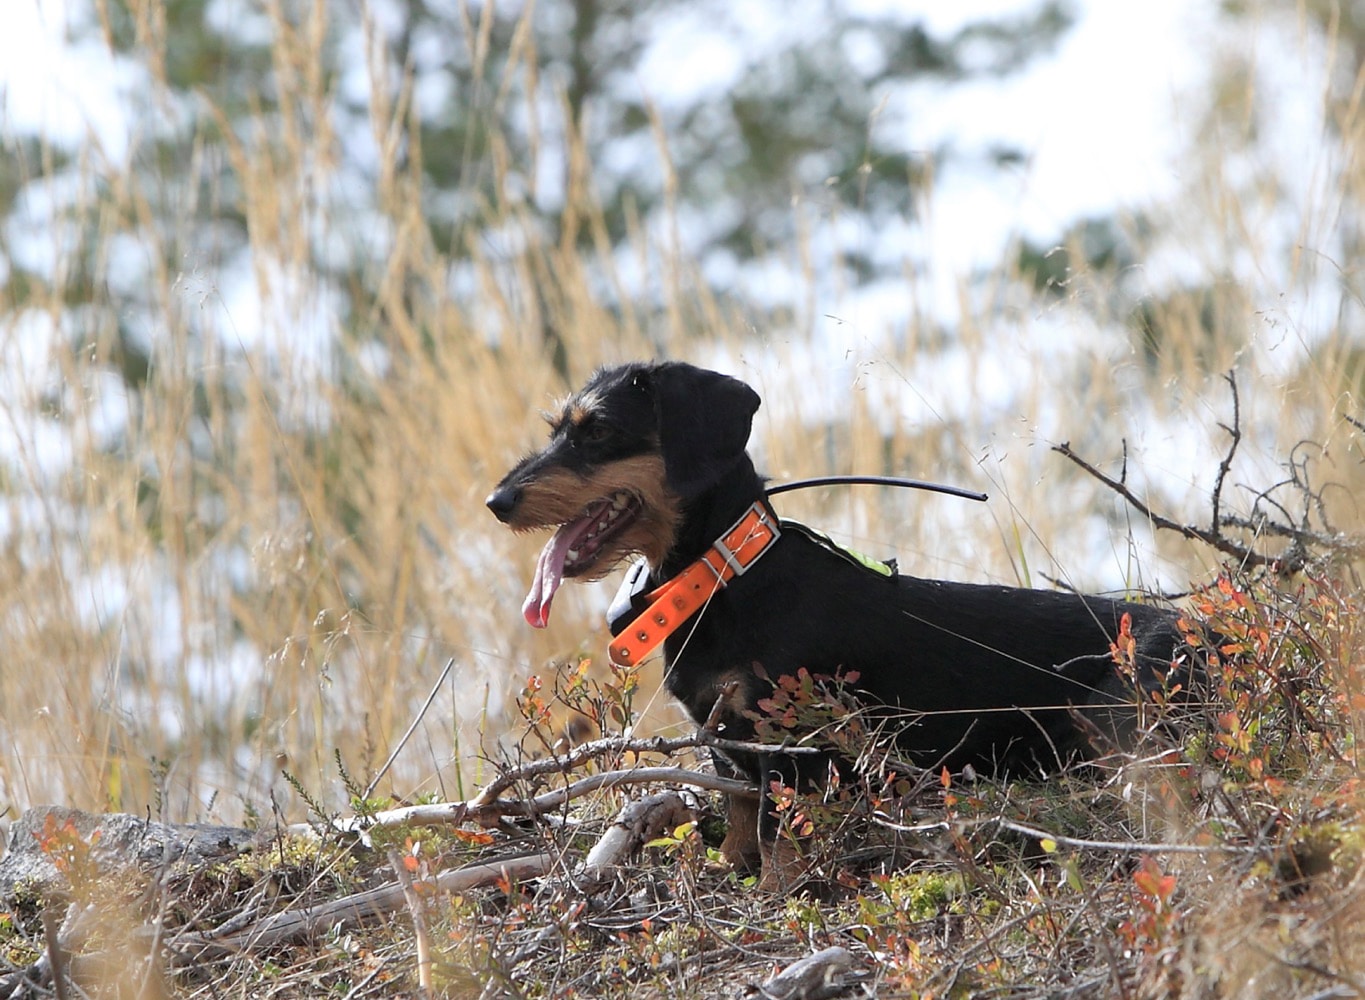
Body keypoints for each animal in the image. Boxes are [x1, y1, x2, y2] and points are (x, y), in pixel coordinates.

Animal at [488, 360, 1195, 889]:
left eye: (598, 431)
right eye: (558, 429)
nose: (498, 501)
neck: (726, 577)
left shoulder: (791, 747)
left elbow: (777, 837)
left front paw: (774, 895)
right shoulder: (728, 745)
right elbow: (741, 823)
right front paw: (729, 872)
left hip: (1115, 719)